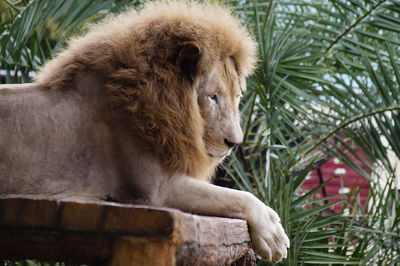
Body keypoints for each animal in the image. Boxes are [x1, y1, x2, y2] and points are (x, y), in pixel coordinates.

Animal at [0, 0, 288, 262]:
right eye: (213, 97)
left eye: (237, 96)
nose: (234, 143)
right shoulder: (155, 190)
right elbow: (238, 196)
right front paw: (273, 236)